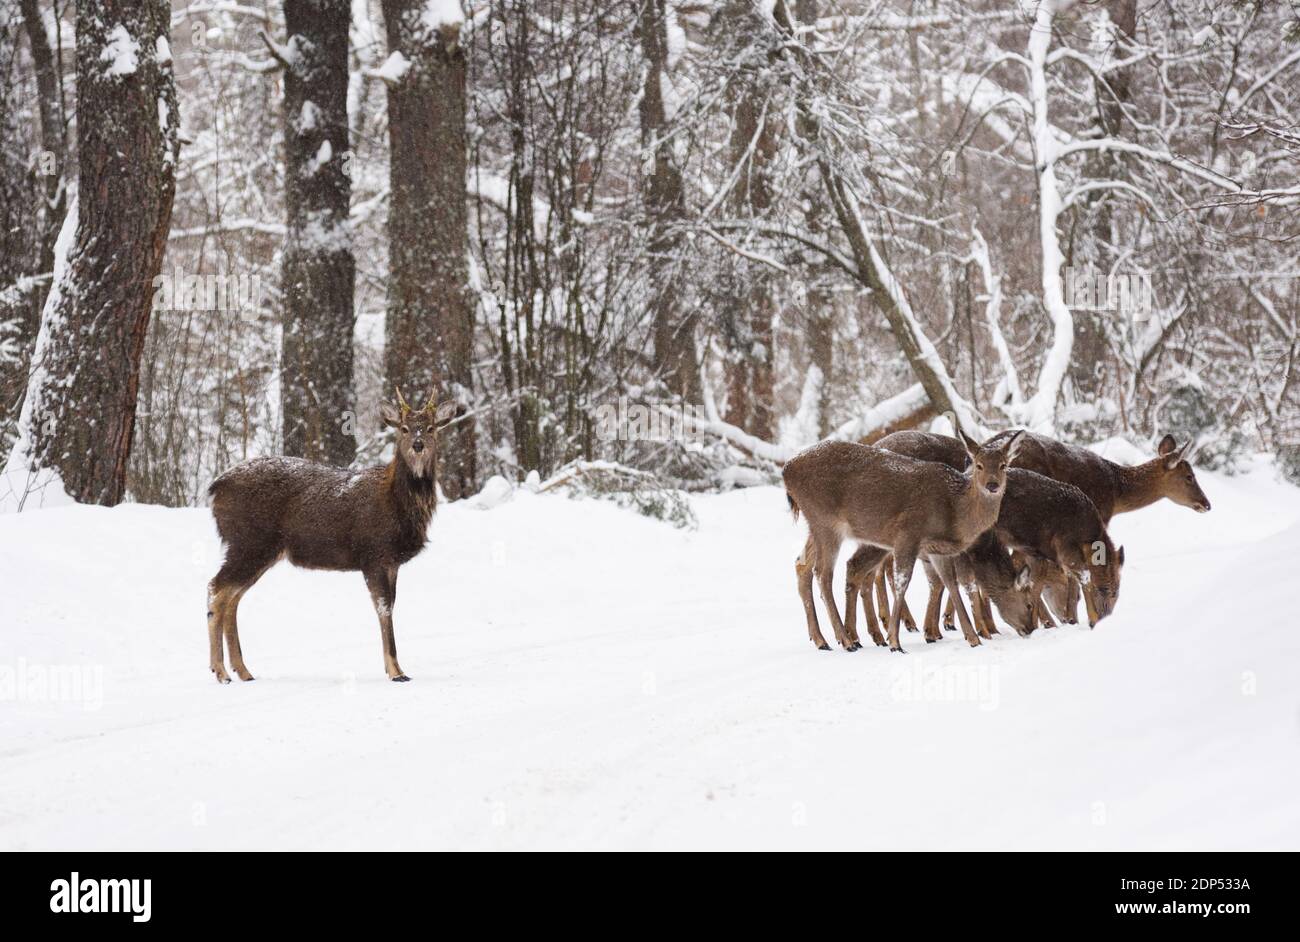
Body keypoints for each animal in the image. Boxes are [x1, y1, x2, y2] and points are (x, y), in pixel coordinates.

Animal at [205, 387, 454, 686]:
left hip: (257, 550)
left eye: (431, 428)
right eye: (404, 429)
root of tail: (215, 488)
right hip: (248, 542)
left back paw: (243, 671)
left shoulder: (391, 562)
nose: (418, 445)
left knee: (232, 598)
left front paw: (393, 668)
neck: (397, 505)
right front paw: (396, 671)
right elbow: (384, 609)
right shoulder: (373, 554)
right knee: (216, 589)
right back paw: (220, 671)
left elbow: (391, 606)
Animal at [780, 428, 1024, 649]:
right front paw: (895, 641)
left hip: (814, 525)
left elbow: (949, 583)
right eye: (979, 465)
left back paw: (821, 640)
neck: (955, 511)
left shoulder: (936, 549)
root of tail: (786, 470)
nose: (992, 485)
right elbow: (902, 582)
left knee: (801, 564)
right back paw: (846, 640)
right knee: (823, 573)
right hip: (826, 521)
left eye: (1003, 465)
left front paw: (973, 638)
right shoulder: (908, 533)